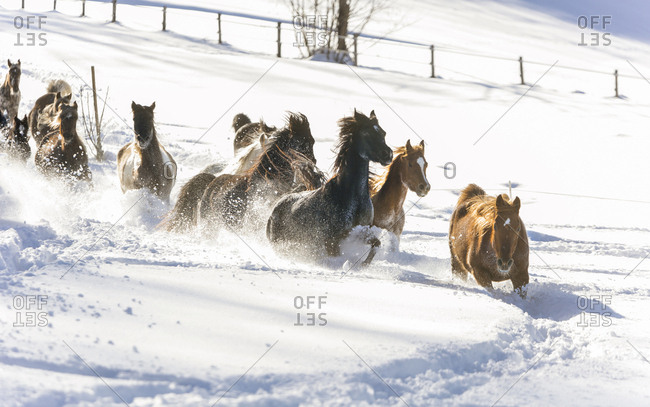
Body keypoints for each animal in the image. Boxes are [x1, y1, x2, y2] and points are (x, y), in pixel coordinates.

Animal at [266, 109, 393, 264]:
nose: (388, 154)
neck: (352, 196)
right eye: (366, 133)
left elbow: (376, 244)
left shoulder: (358, 231)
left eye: (383, 133)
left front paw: (363, 264)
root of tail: (276, 205)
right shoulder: (332, 241)